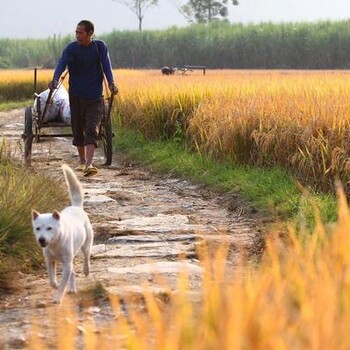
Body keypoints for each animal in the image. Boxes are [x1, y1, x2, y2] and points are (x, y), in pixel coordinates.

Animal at [31, 164, 93, 304]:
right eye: (38, 228)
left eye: (49, 228)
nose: (41, 239)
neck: (55, 244)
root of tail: (76, 207)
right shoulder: (50, 261)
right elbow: (52, 281)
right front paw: (57, 286)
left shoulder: (66, 264)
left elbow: (63, 283)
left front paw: (58, 297)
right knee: (73, 273)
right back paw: (72, 288)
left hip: (85, 245)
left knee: (86, 257)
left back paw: (86, 270)